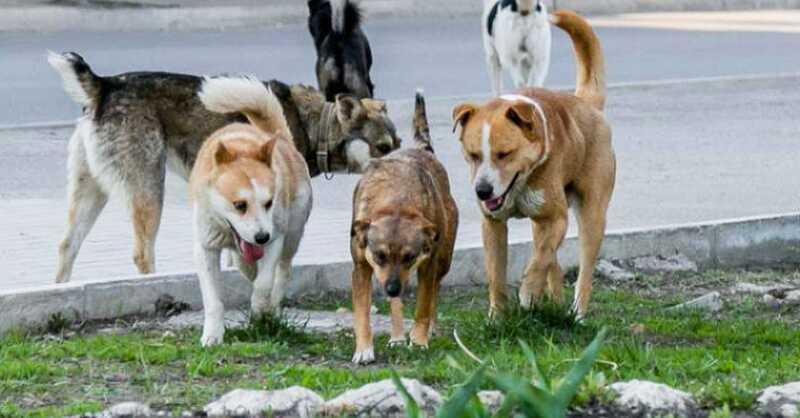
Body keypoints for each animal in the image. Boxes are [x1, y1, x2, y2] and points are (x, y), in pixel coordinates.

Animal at [47, 50, 400, 282]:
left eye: (398, 144)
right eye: (382, 148)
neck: (312, 124)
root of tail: (105, 85)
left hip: (90, 192)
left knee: (66, 246)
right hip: (148, 189)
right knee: (141, 253)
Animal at [191, 76, 312, 346]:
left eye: (269, 203)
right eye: (240, 205)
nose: (261, 237)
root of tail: (279, 138)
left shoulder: (277, 237)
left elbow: (264, 284)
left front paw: (259, 313)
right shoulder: (206, 246)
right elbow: (212, 298)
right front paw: (212, 335)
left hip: (294, 233)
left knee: (283, 270)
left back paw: (273, 308)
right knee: (243, 263)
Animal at [348, 90, 456, 362]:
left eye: (410, 257)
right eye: (379, 255)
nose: (393, 287)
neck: (395, 201)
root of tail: (422, 149)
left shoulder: (427, 264)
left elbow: (424, 305)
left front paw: (418, 341)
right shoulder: (362, 268)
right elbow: (361, 313)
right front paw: (364, 350)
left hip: (444, 259)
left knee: (434, 292)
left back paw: (429, 329)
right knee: (396, 305)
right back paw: (397, 336)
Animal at [454, 9, 616, 316]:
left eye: (504, 154)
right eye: (473, 155)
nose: (482, 191)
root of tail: (585, 103)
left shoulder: (557, 218)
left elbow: (540, 258)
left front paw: (528, 291)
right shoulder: (492, 224)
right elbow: (496, 275)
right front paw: (497, 317)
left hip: (592, 214)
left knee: (581, 270)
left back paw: (576, 313)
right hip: (540, 220)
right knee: (553, 262)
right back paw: (553, 301)